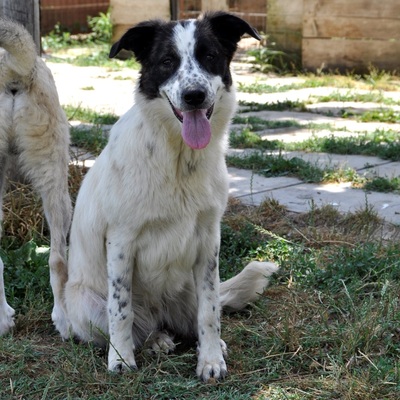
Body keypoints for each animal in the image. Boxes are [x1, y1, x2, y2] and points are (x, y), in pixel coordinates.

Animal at [64, 12, 278, 382]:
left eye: (209, 56)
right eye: (167, 61)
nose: (194, 96)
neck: (178, 158)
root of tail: (159, 312)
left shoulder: (208, 241)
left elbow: (210, 313)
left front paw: (210, 360)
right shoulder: (120, 241)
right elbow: (120, 310)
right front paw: (120, 360)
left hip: (190, 288)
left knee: (200, 314)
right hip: (85, 306)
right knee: (138, 325)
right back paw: (154, 341)